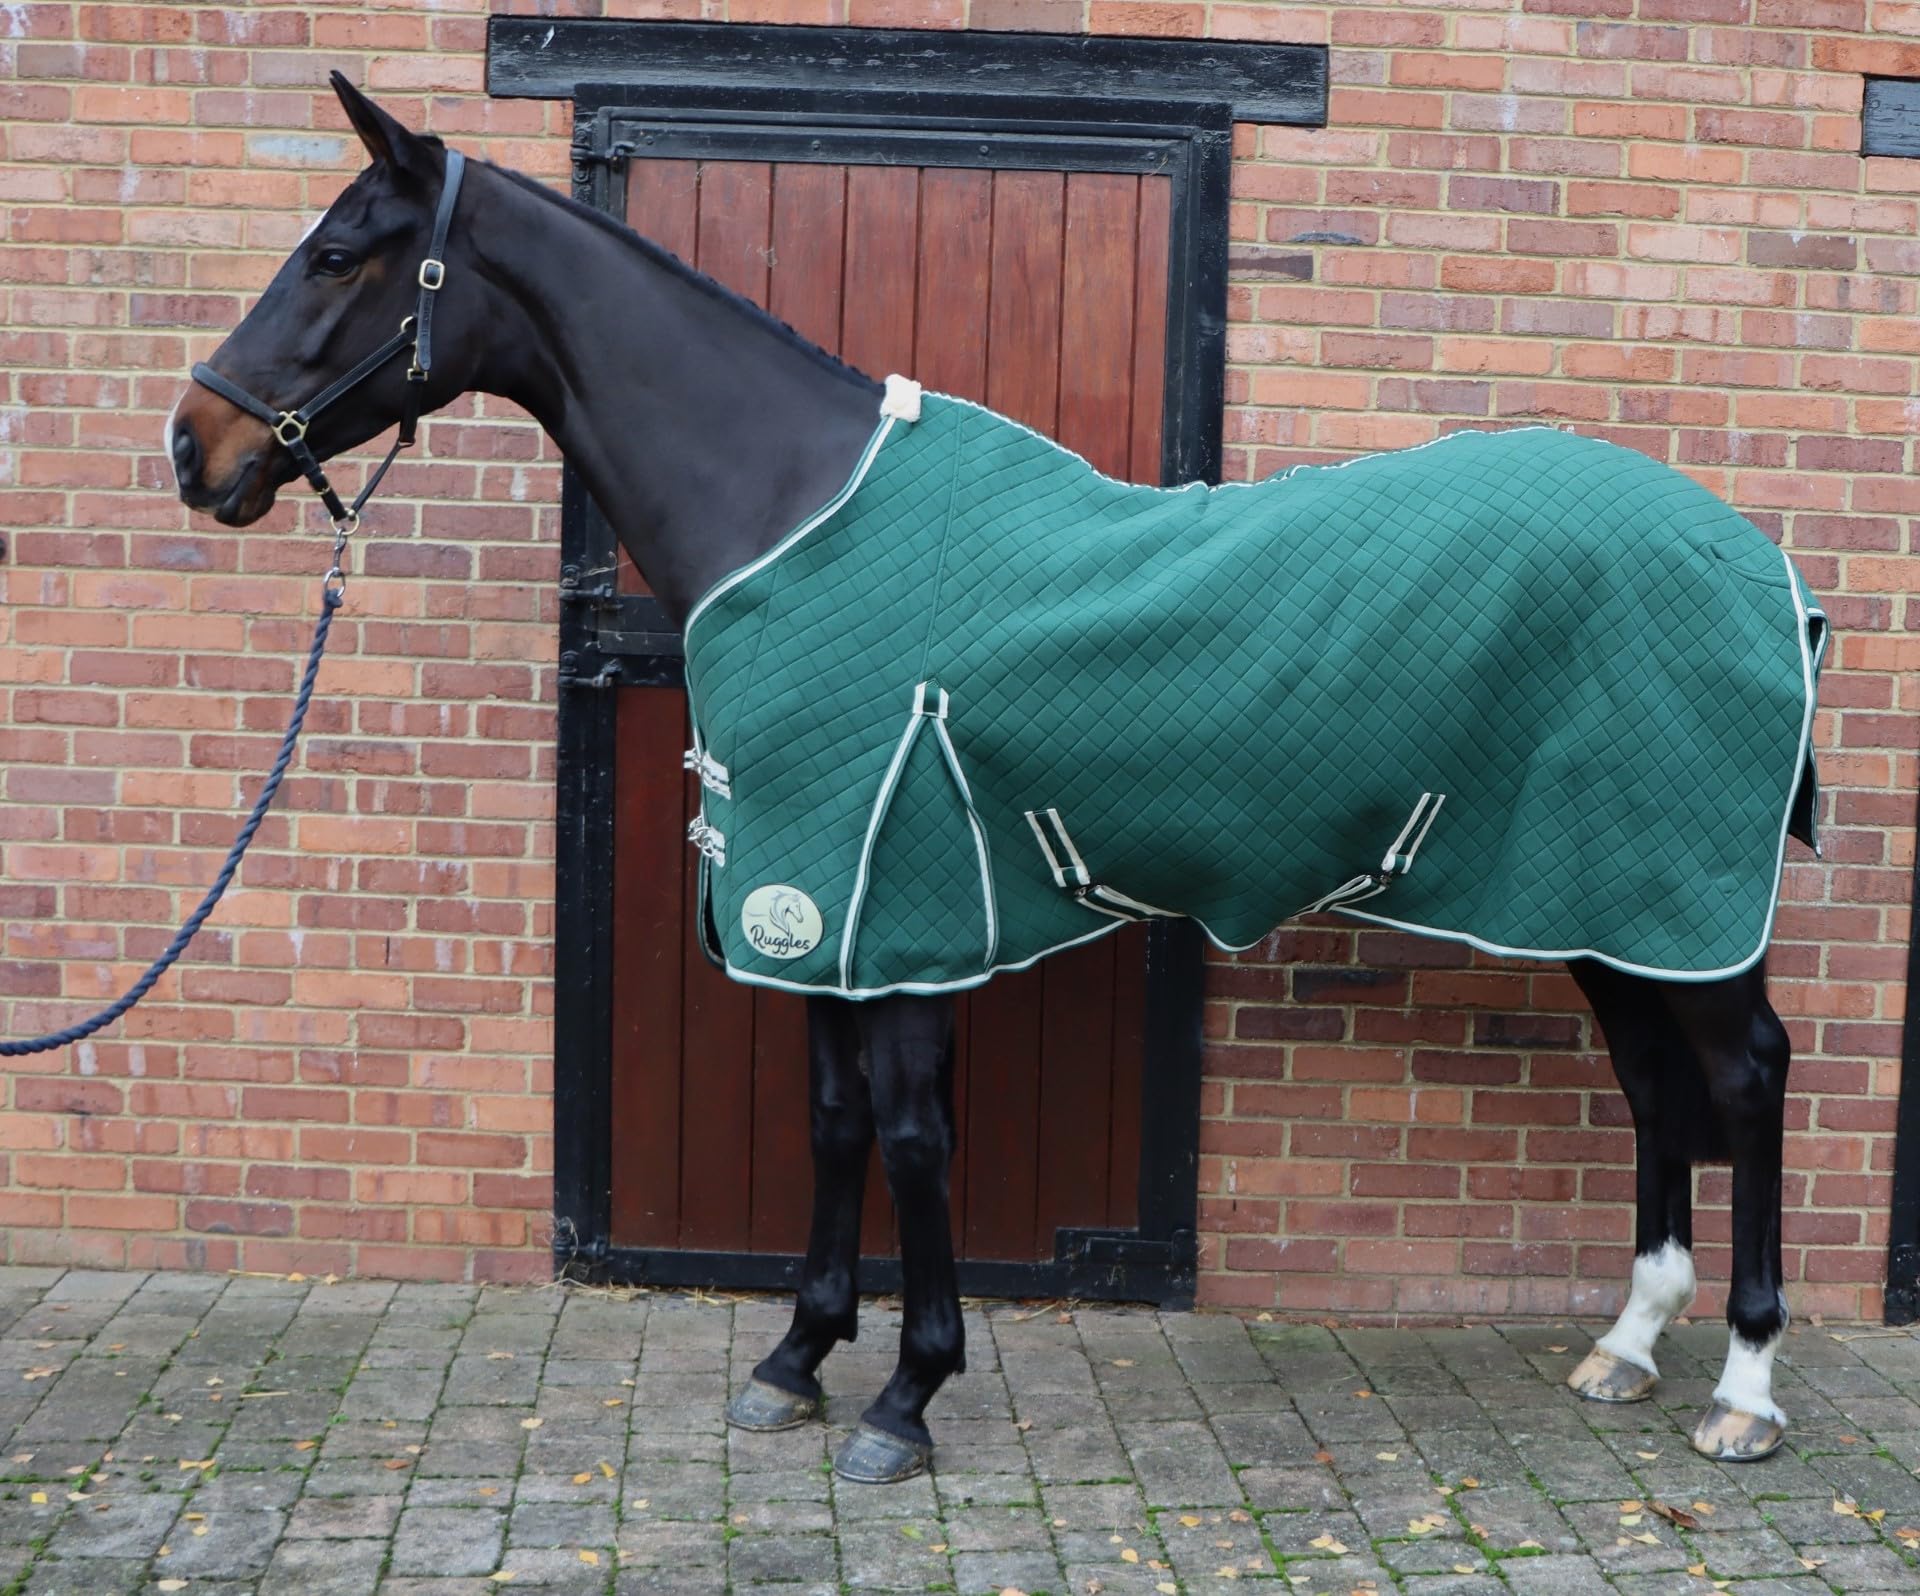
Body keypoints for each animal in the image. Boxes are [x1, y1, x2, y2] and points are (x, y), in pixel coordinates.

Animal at [169, 75, 1814, 1483]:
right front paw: (796, 1360)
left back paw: (1743, 1389)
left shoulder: (881, 898)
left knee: (1744, 1074)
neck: (793, 508)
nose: (195, 449)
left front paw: (906, 1395)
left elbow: (910, 1137)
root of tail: (1761, 564)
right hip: (1598, 895)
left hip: (1671, 895)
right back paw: (1626, 1346)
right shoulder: (816, 906)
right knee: (1654, 1080)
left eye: (334, 255)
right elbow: (836, 1123)